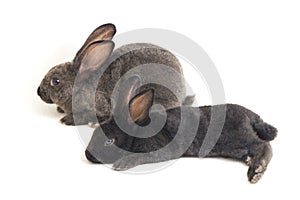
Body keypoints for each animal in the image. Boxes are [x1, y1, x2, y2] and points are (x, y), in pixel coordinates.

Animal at [85, 76, 278, 184]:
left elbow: (141, 156)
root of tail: (254, 118)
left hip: (240, 137)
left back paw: (256, 171)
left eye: (109, 141)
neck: (137, 133)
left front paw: (121, 164)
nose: (87, 155)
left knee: (264, 145)